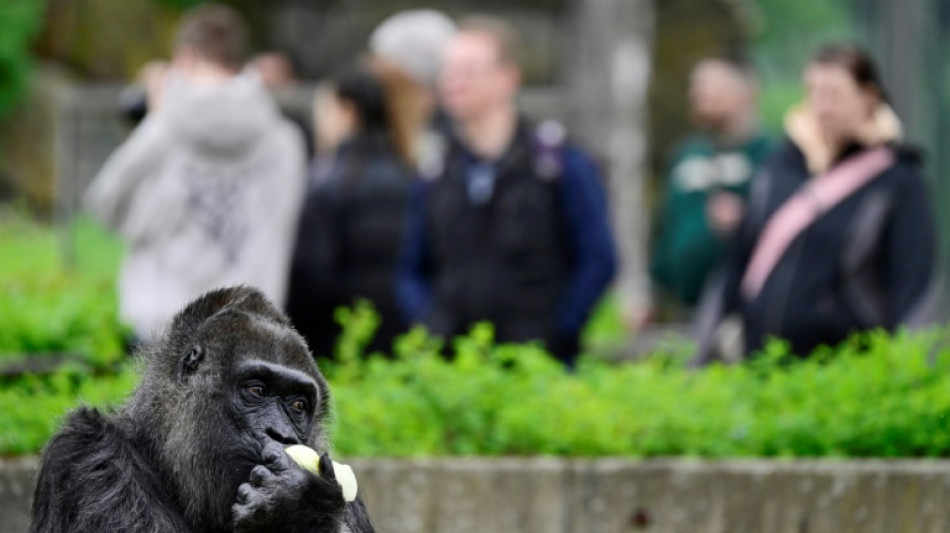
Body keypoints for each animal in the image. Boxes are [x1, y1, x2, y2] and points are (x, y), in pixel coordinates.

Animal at [27, 286, 376, 532]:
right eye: (256, 390)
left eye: (298, 405)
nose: (281, 434)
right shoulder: (86, 448)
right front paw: (299, 506)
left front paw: (302, 506)